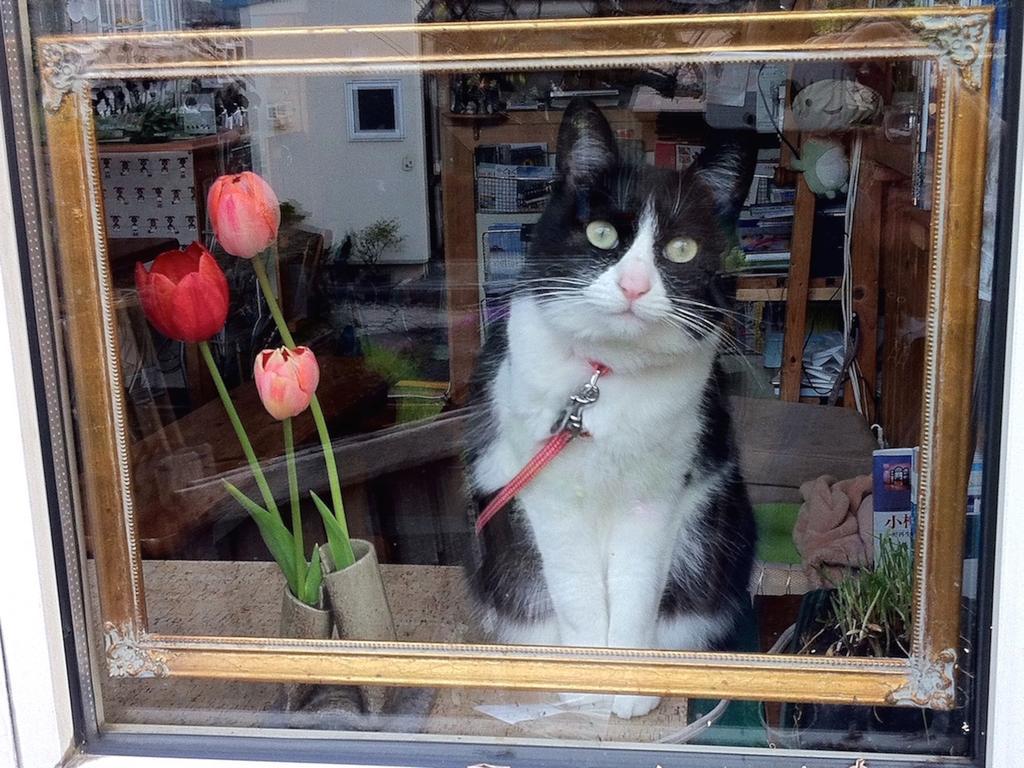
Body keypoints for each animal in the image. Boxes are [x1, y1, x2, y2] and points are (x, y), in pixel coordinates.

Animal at [462, 97, 753, 720]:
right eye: (600, 234)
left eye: (682, 249)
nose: (636, 286)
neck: (604, 382)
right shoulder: (548, 498)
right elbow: (575, 593)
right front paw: (587, 682)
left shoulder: (655, 502)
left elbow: (636, 591)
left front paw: (628, 688)